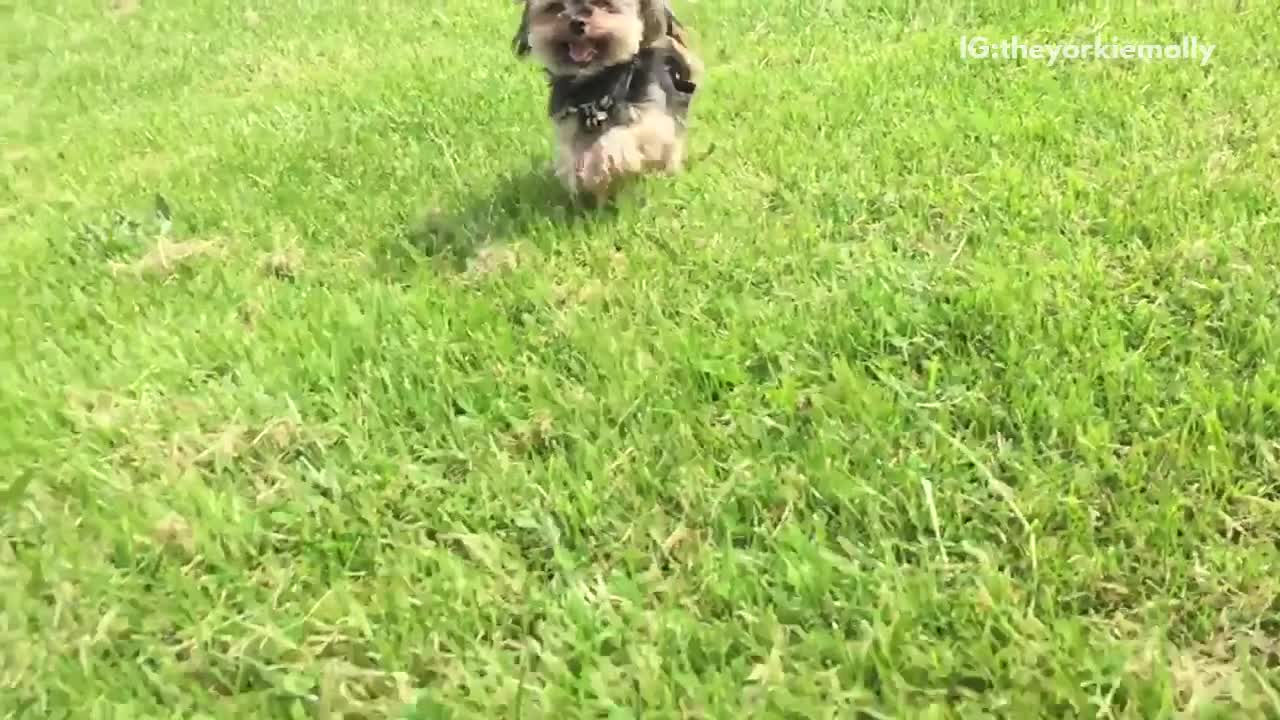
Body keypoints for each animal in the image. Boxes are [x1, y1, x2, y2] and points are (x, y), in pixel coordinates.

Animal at [509, 0, 701, 203]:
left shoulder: (653, 121)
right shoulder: (569, 125)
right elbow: (572, 155)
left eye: (604, 4)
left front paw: (596, 166)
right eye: (556, 7)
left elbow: (617, 139)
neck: (596, 84)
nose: (576, 23)